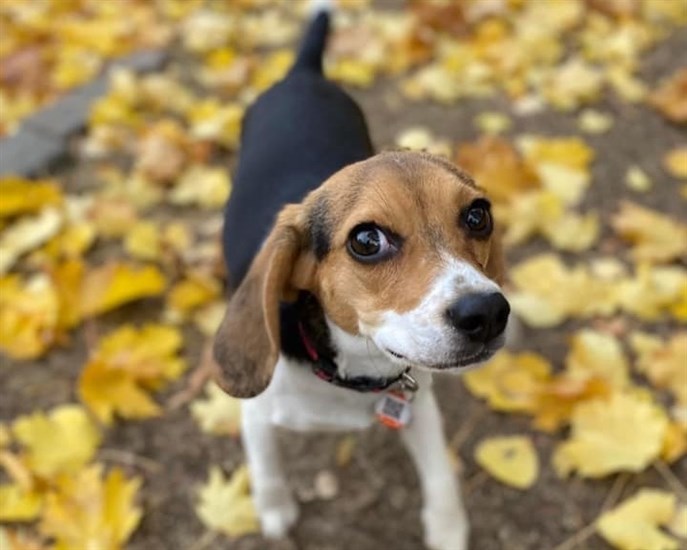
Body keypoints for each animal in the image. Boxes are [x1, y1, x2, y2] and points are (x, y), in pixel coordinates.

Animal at [215, 5, 510, 550]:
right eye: (366, 240)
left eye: (478, 215)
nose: (487, 313)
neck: (352, 367)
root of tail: (303, 74)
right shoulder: (256, 414)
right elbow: (266, 466)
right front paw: (275, 512)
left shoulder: (419, 406)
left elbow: (441, 476)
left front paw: (448, 530)